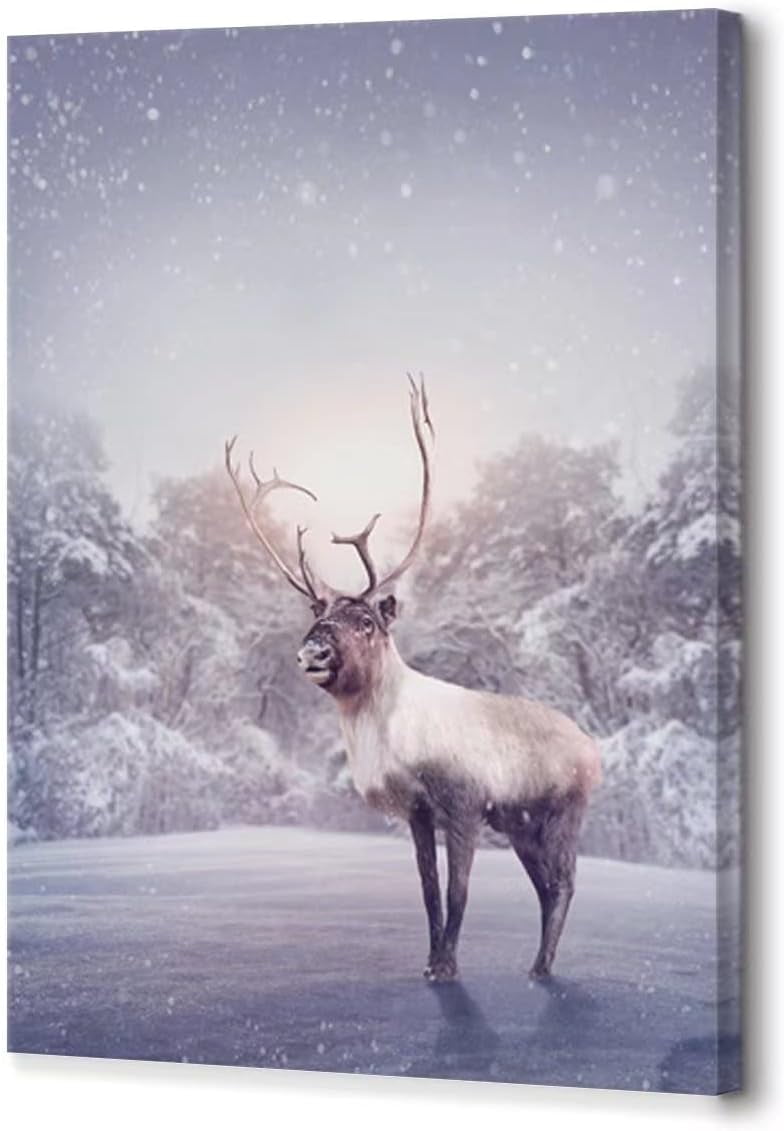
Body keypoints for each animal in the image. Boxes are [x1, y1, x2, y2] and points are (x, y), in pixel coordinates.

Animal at [225, 377, 601, 982]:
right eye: (317, 615)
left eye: (367, 621)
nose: (313, 650)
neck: (394, 742)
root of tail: (595, 752)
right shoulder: (419, 812)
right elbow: (427, 891)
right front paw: (430, 961)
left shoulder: (465, 804)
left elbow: (459, 891)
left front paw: (447, 967)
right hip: (521, 824)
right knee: (546, 888)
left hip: (561, 812)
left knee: (563, 884)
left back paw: (541, 968)